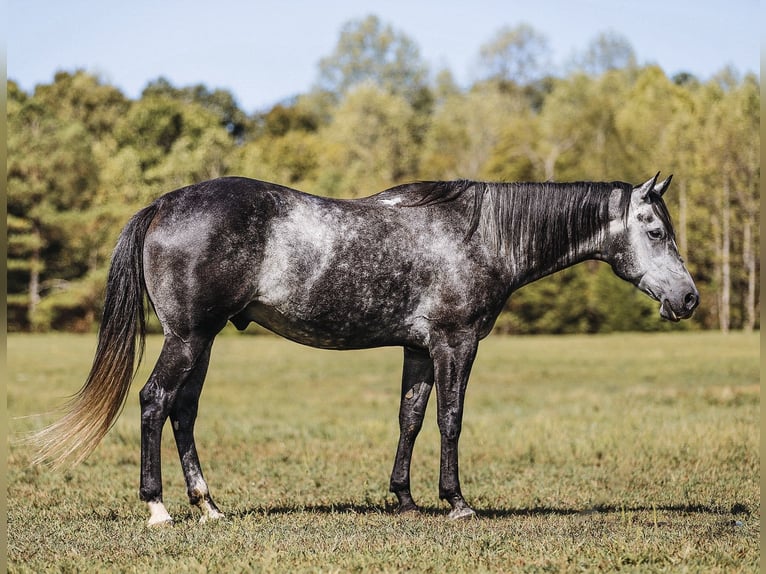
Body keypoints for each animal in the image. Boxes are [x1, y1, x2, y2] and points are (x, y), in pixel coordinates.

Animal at [30, 174, 704, 528]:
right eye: (654, 230)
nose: (689, 298)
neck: (480, 235)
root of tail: (164, 203)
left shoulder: (418, 349)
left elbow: (410, 418)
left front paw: (405, 498)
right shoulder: (455, 343)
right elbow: (451, 420)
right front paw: (456, 502)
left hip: (204, 341)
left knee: (182, 412)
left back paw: (210, 506)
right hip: (188, 338)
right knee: (152, 402)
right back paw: (159, 508)